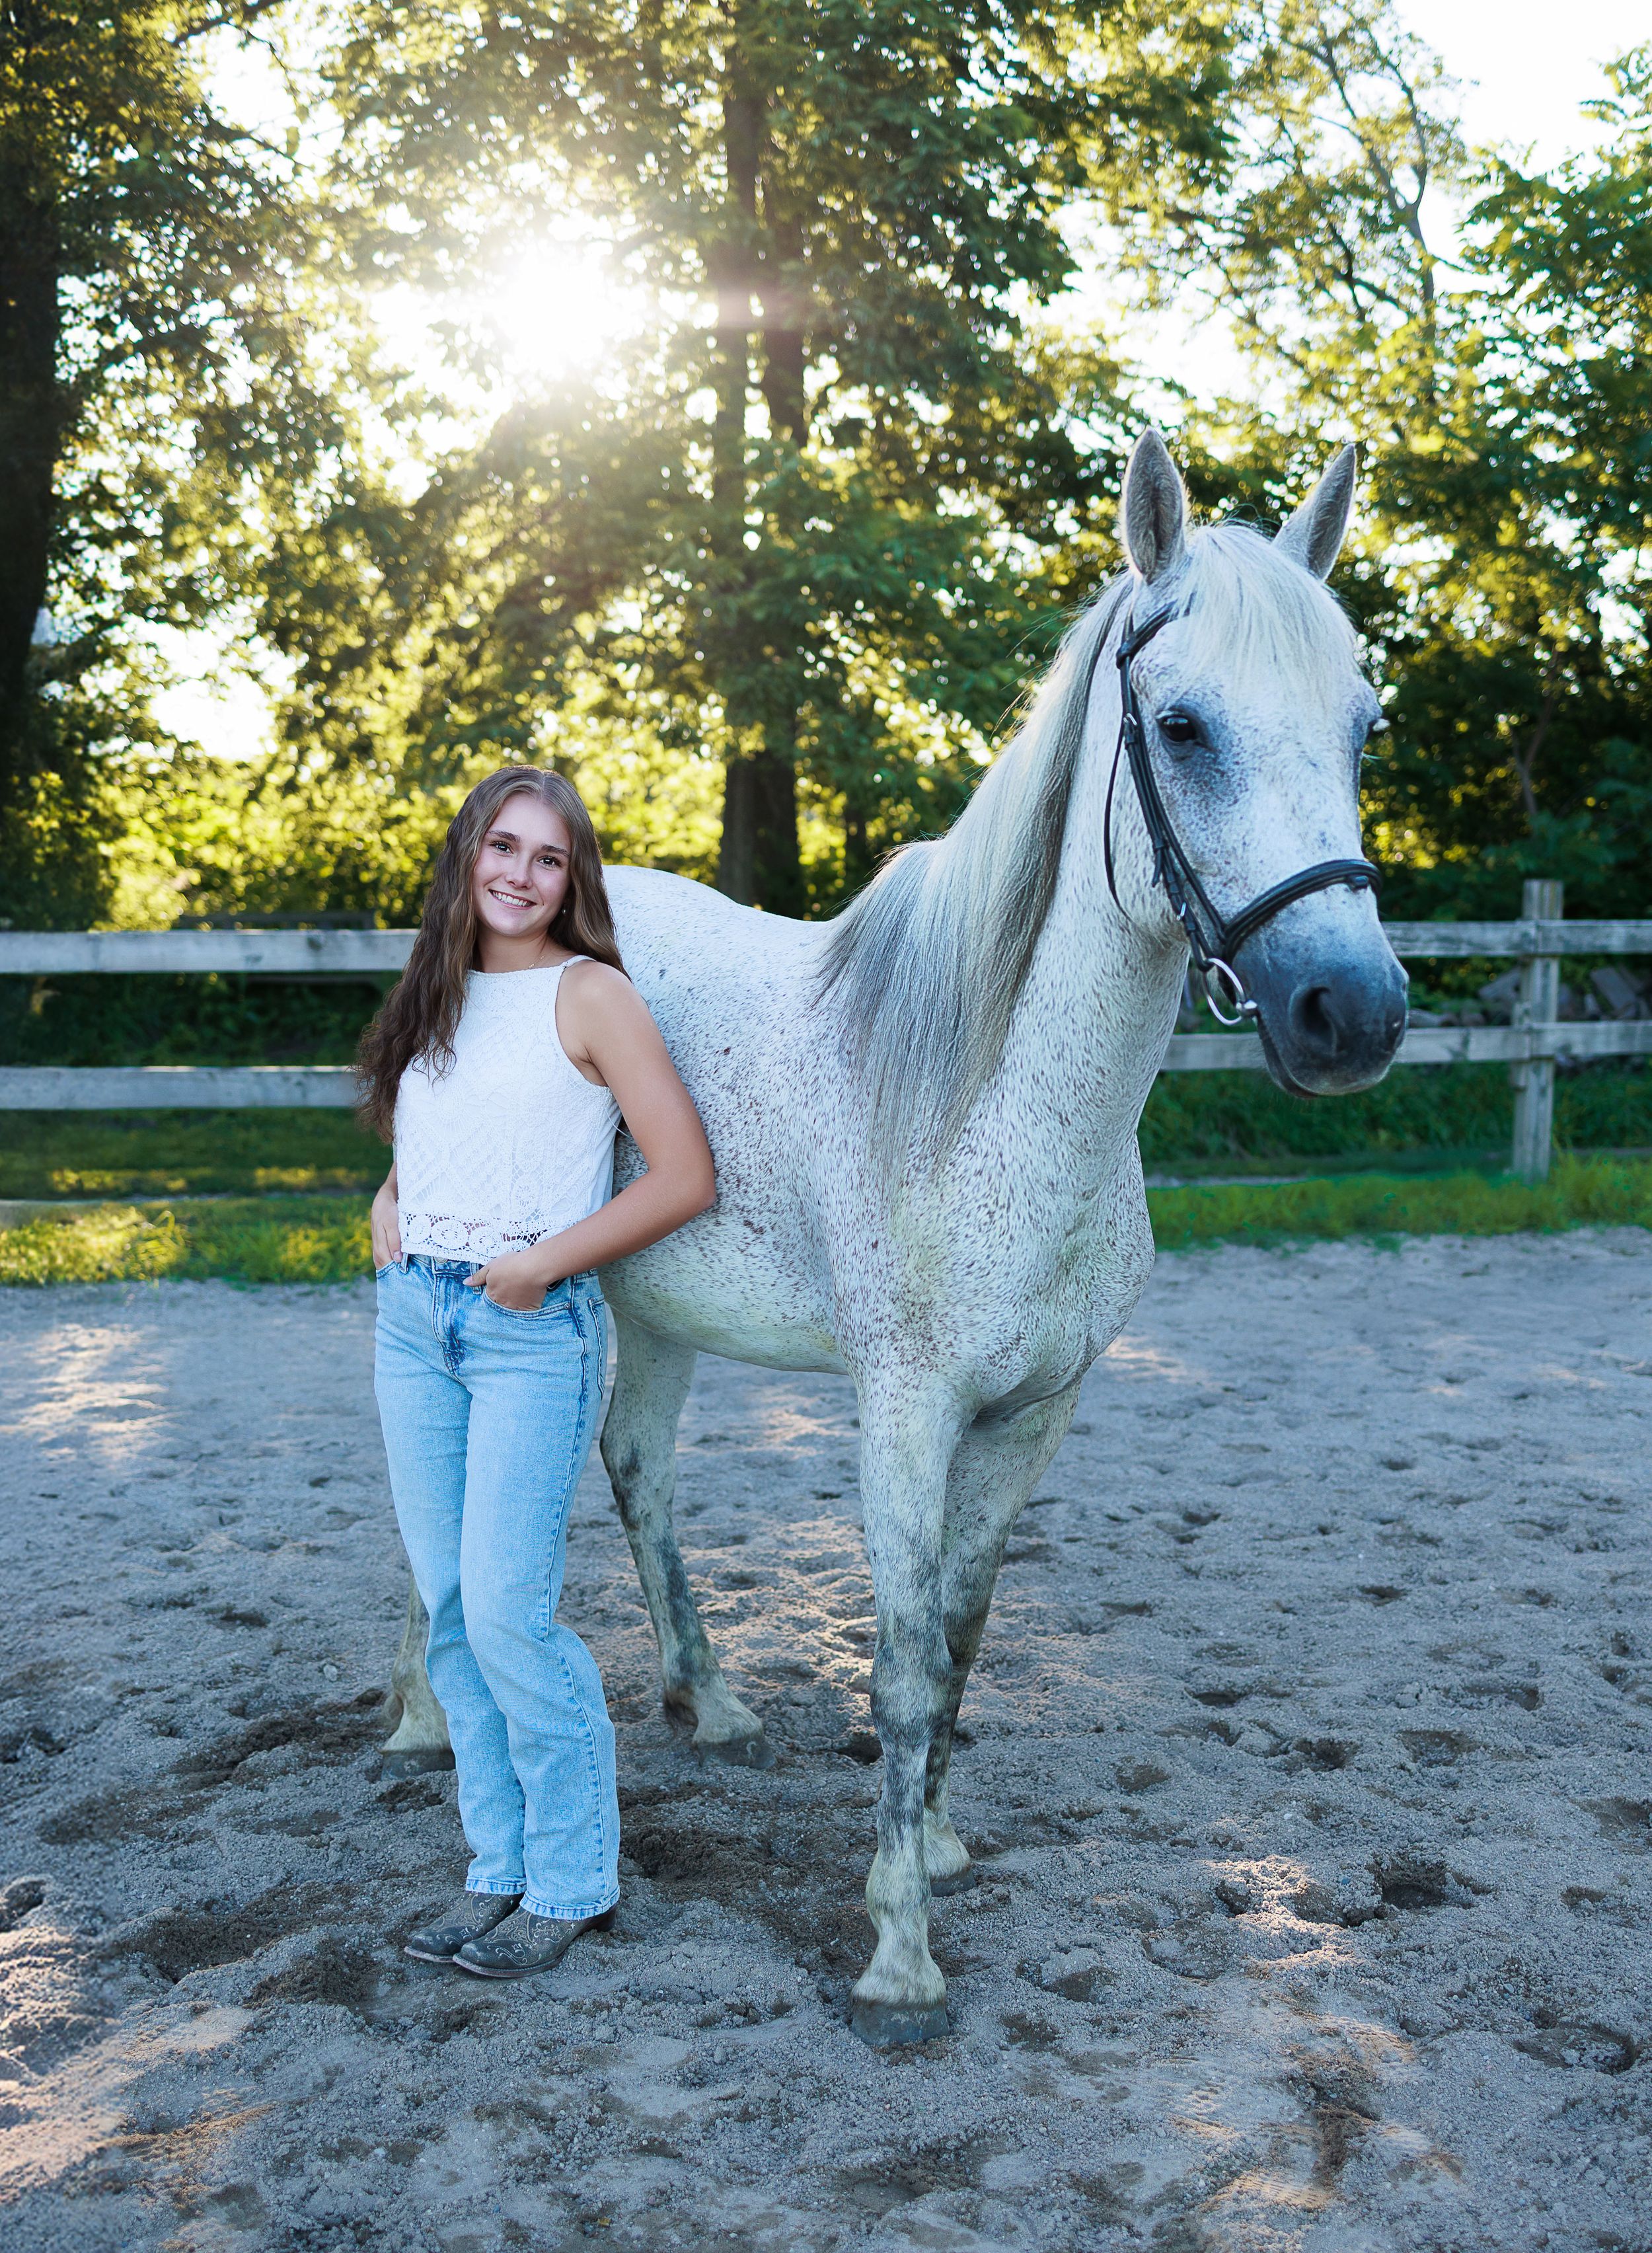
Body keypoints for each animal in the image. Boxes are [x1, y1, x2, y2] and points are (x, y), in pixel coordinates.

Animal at [381, 429, 1408, 2047]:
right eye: (1182, 725)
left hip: (651, 1310)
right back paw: (428, 1724)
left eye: (1362, 728)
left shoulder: (1034, 1412)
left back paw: (712, 1703)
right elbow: (906, 1661)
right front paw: (899, 1956)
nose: (1348, 1012)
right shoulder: (907, 1411)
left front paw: (932, 1843)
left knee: (635, 1470)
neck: (990, 1088)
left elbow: (964, 1638)